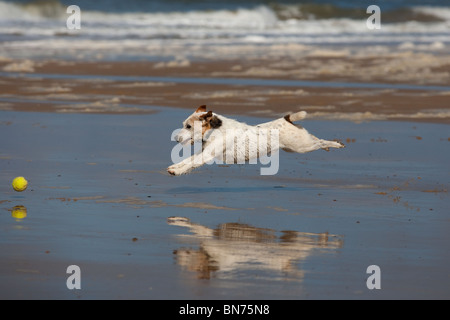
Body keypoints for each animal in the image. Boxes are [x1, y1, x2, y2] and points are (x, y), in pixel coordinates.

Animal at [169, 104, 344, 175]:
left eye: (188, 127)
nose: (176, 139)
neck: (215, 130)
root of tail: (286, 119)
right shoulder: (202, 153)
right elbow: (186, 161)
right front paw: (174, 167)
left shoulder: (206, 156)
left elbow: (190, 164)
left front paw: (177, 171)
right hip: (297, 145)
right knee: (315, 139)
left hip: (302, 147)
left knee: (320, 142)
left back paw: (335, 144)